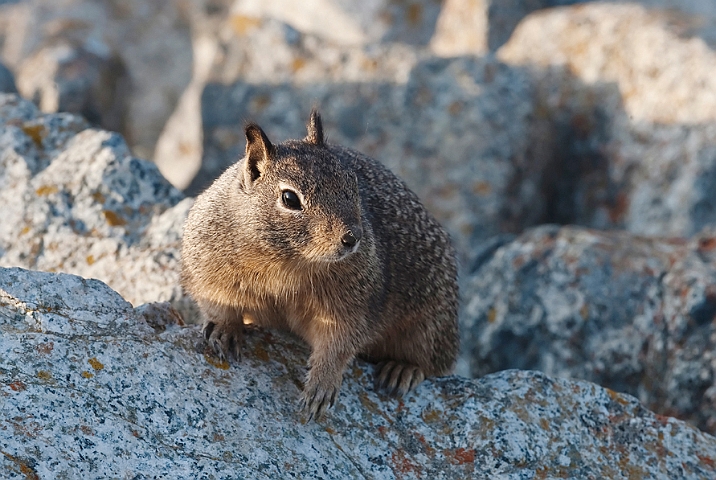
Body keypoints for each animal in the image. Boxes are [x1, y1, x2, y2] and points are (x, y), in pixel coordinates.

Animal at [179, 109, 458, 420]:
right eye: (289, 198)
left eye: (352, 182)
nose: (352, 237)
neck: (288, 261)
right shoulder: (207, 271)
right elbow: (219, 304)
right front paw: (225, 331)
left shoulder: (351, 306)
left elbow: (338, 345)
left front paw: (320, 387)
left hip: (430, 325)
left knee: (433, 362)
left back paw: (401, 371)